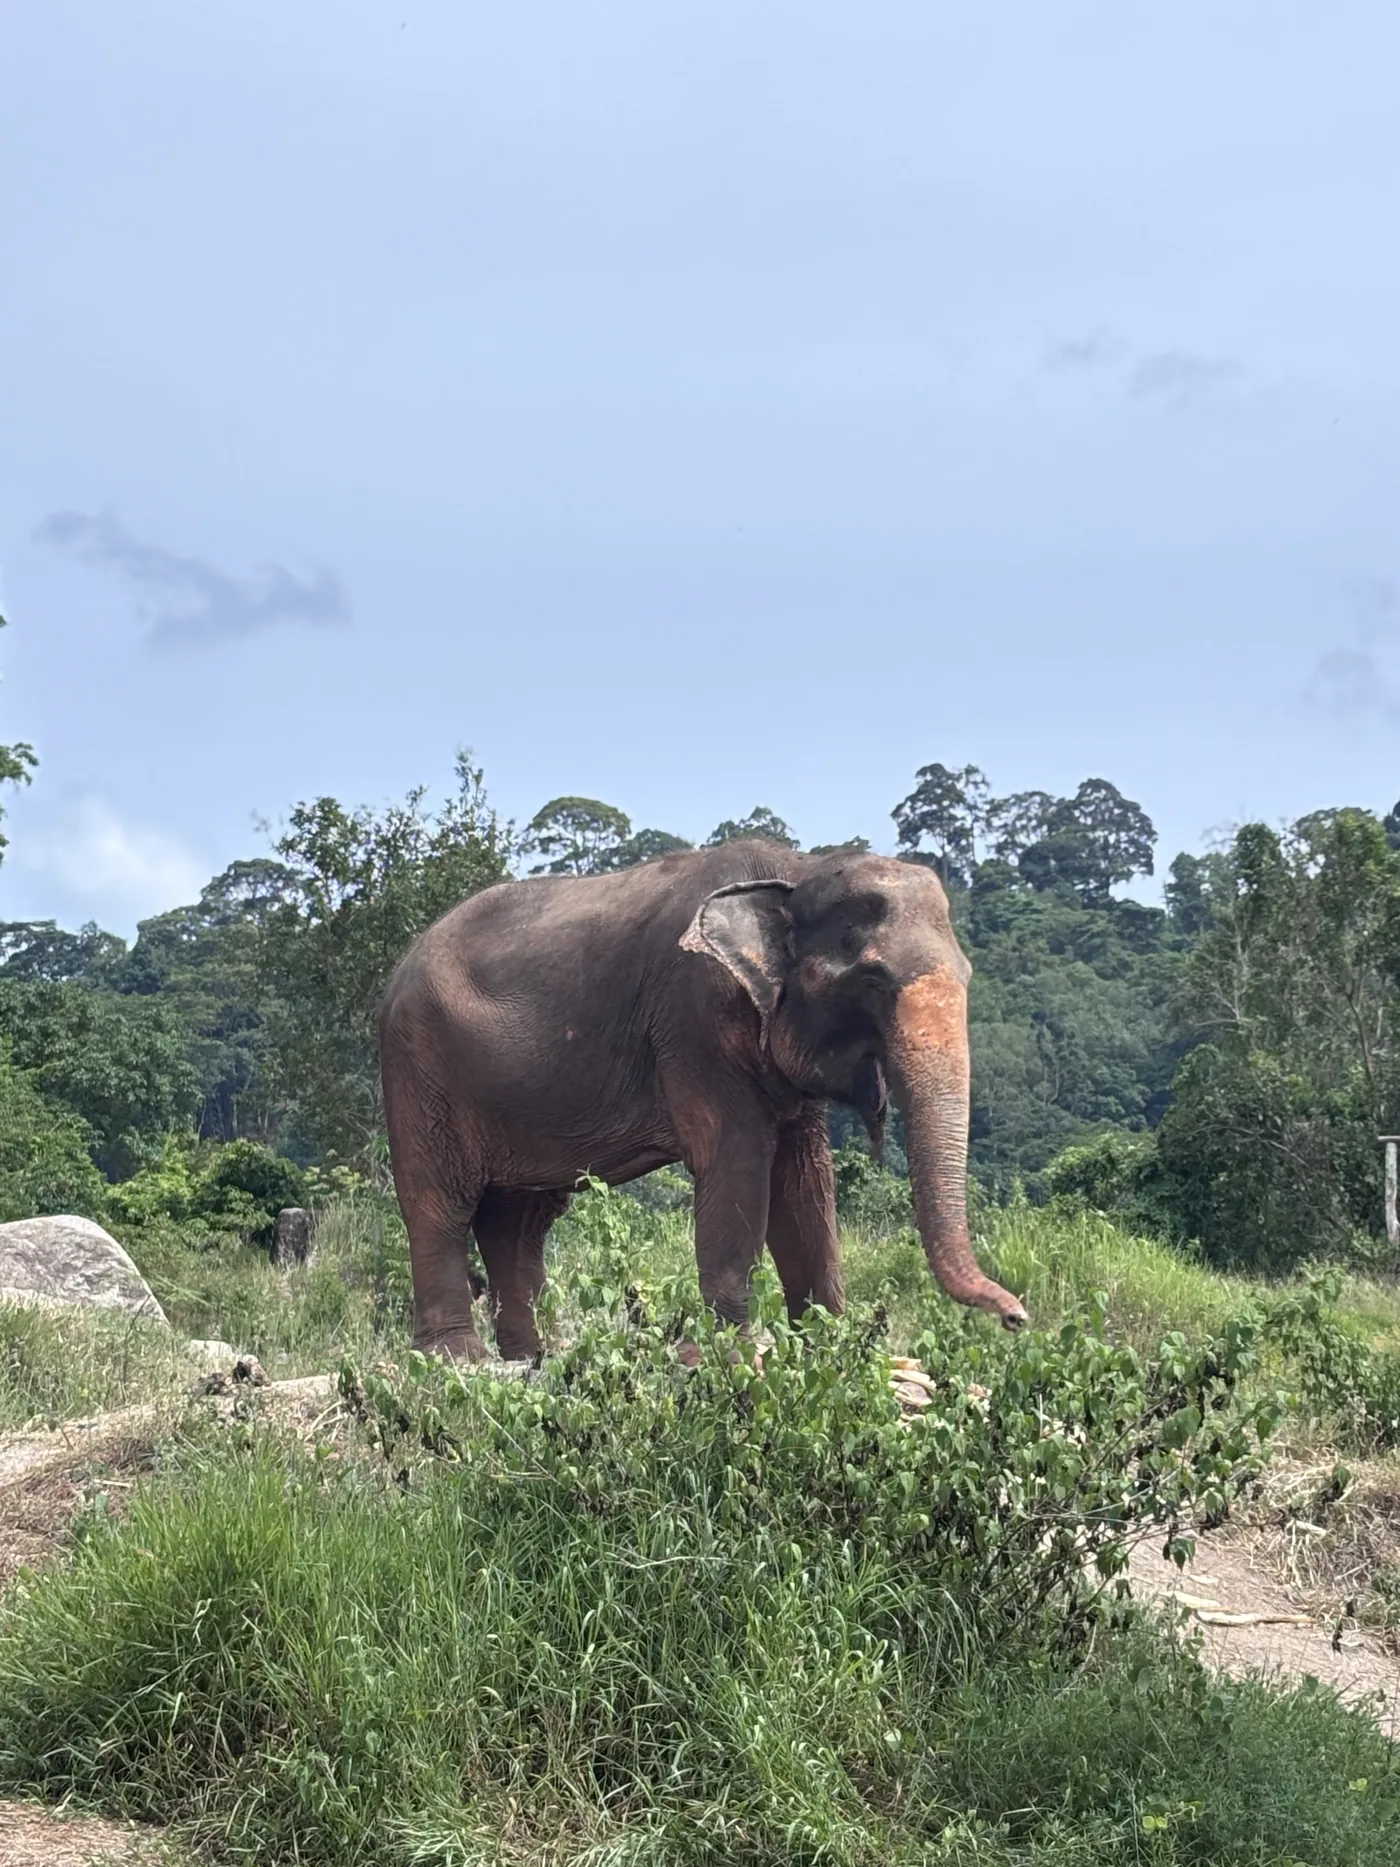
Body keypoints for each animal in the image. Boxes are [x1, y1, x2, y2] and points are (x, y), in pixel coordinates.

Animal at [379, 839, 1028, 1362]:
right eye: (871, 981)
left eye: (968, 975)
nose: (1017, 1318)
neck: (798, 869)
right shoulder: (696, 1017)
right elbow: (738, 1164)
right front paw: (728, 1357)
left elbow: (805, 1181)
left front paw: (827, 1348)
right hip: (418, 1068)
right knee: (440, 1203)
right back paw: (457, 1360)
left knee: (519, 1217)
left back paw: (533, 1358)